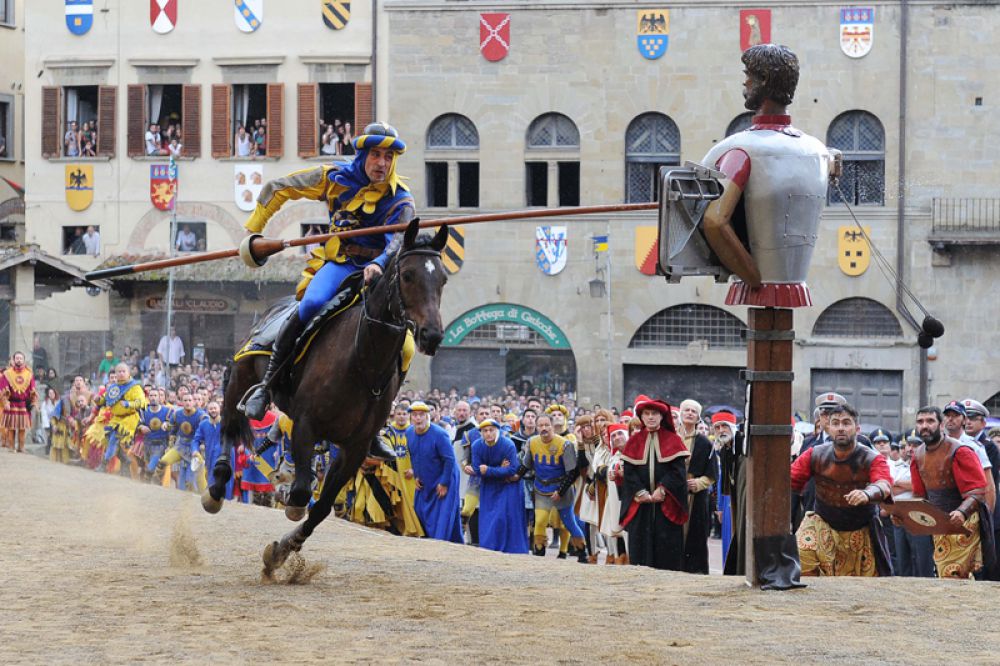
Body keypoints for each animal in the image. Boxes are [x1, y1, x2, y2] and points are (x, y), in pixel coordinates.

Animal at [203, 219, 450, 572]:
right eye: (408, 275)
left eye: (442, 278)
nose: (432, 335)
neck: (363, 360)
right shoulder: (306, 427)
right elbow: (301, 493)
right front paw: (288, 506)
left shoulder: (354, 447)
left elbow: (321, 506)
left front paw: (282, 550)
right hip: (240, 378)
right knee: (227, 425)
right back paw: (217, 486)